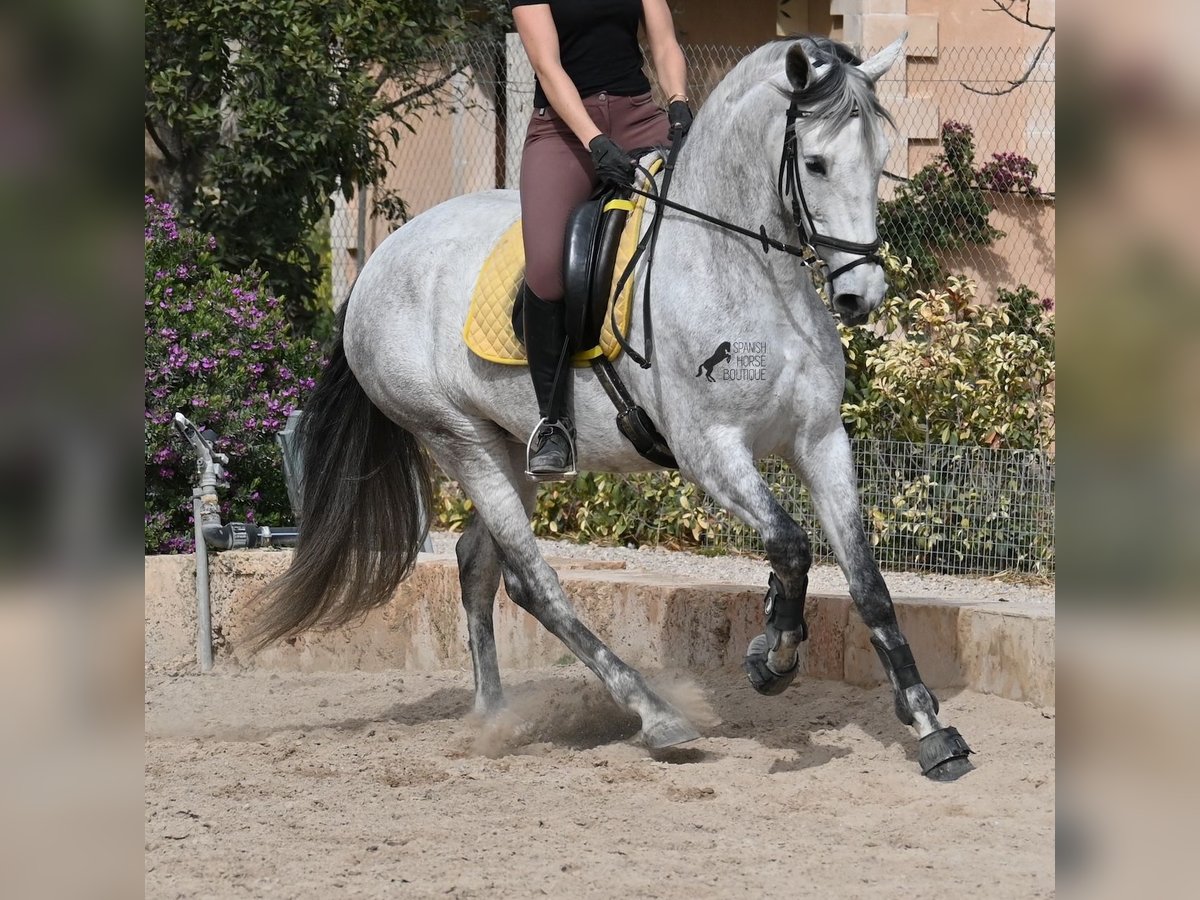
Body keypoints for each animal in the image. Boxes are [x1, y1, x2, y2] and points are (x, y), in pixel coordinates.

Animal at [253, 37, 974, 782]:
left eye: (880, 159)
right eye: (816, 163)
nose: (862, 296)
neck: (745, 271)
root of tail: (377, 265)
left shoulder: (821, 439)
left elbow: (866, 582)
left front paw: (930, 728)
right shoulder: (710, 449)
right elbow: (793, 546)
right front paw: (771, 656)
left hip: (509, 449)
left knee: (479, 566)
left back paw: (494, 715)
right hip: (458, 440)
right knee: (534, 581)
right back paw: (655, 714)